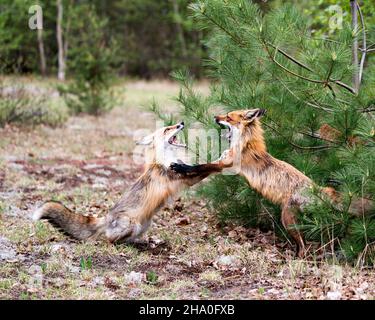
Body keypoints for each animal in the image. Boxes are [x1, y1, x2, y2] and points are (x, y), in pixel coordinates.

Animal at [33, 122, 231, 242]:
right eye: (167, 129)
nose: (181, 123)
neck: (166, 159)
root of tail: (106, 217)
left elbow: (203, 167)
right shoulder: (184, 178)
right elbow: (204, 167)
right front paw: (221, 162)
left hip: (145, 225)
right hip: (131, 224)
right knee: (109, 239)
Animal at [172, 109, 374, 256]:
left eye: (228, 117)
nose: (215, 117)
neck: (243, 145)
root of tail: (316, 188)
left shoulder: (225, 165)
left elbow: (200, 165)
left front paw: (181, 167)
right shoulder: (220, 165)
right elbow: (201, 170)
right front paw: (182, 171)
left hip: (287, 220)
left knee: (304, 245)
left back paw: (298, 260)